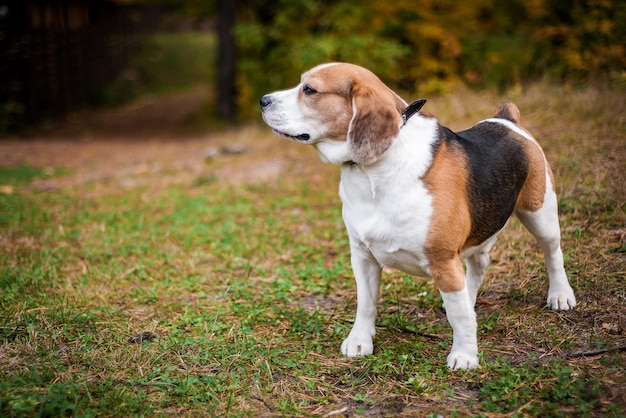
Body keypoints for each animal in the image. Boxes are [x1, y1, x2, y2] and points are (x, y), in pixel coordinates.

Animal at [258, 61, 576, 370]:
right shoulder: (363, 256)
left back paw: (560, 295)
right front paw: (360, 341)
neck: (372, 171)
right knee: (478, 265)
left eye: (309, 90)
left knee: (553, 254)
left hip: (540, 213)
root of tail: (506, 120)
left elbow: (460, 318)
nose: (263, 100)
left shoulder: (443, 260)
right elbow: (366, 303)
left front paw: (465, 355)